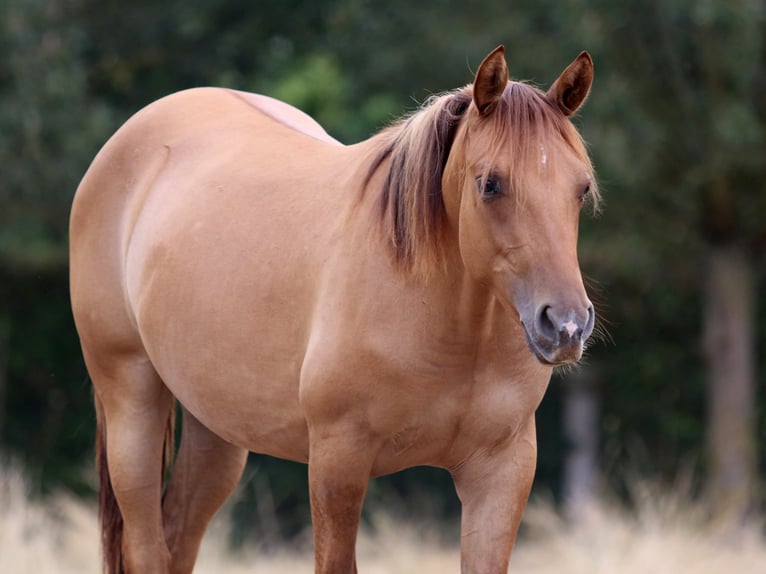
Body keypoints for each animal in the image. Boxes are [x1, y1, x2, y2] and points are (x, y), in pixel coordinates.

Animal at [69, 45, 598, 573]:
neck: (453, 330)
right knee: (147, 548)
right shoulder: (337, 460)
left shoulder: (502, 470)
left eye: (582, 188)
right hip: (131, 403)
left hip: (215, 429)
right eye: (490, 184)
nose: (566, 325)